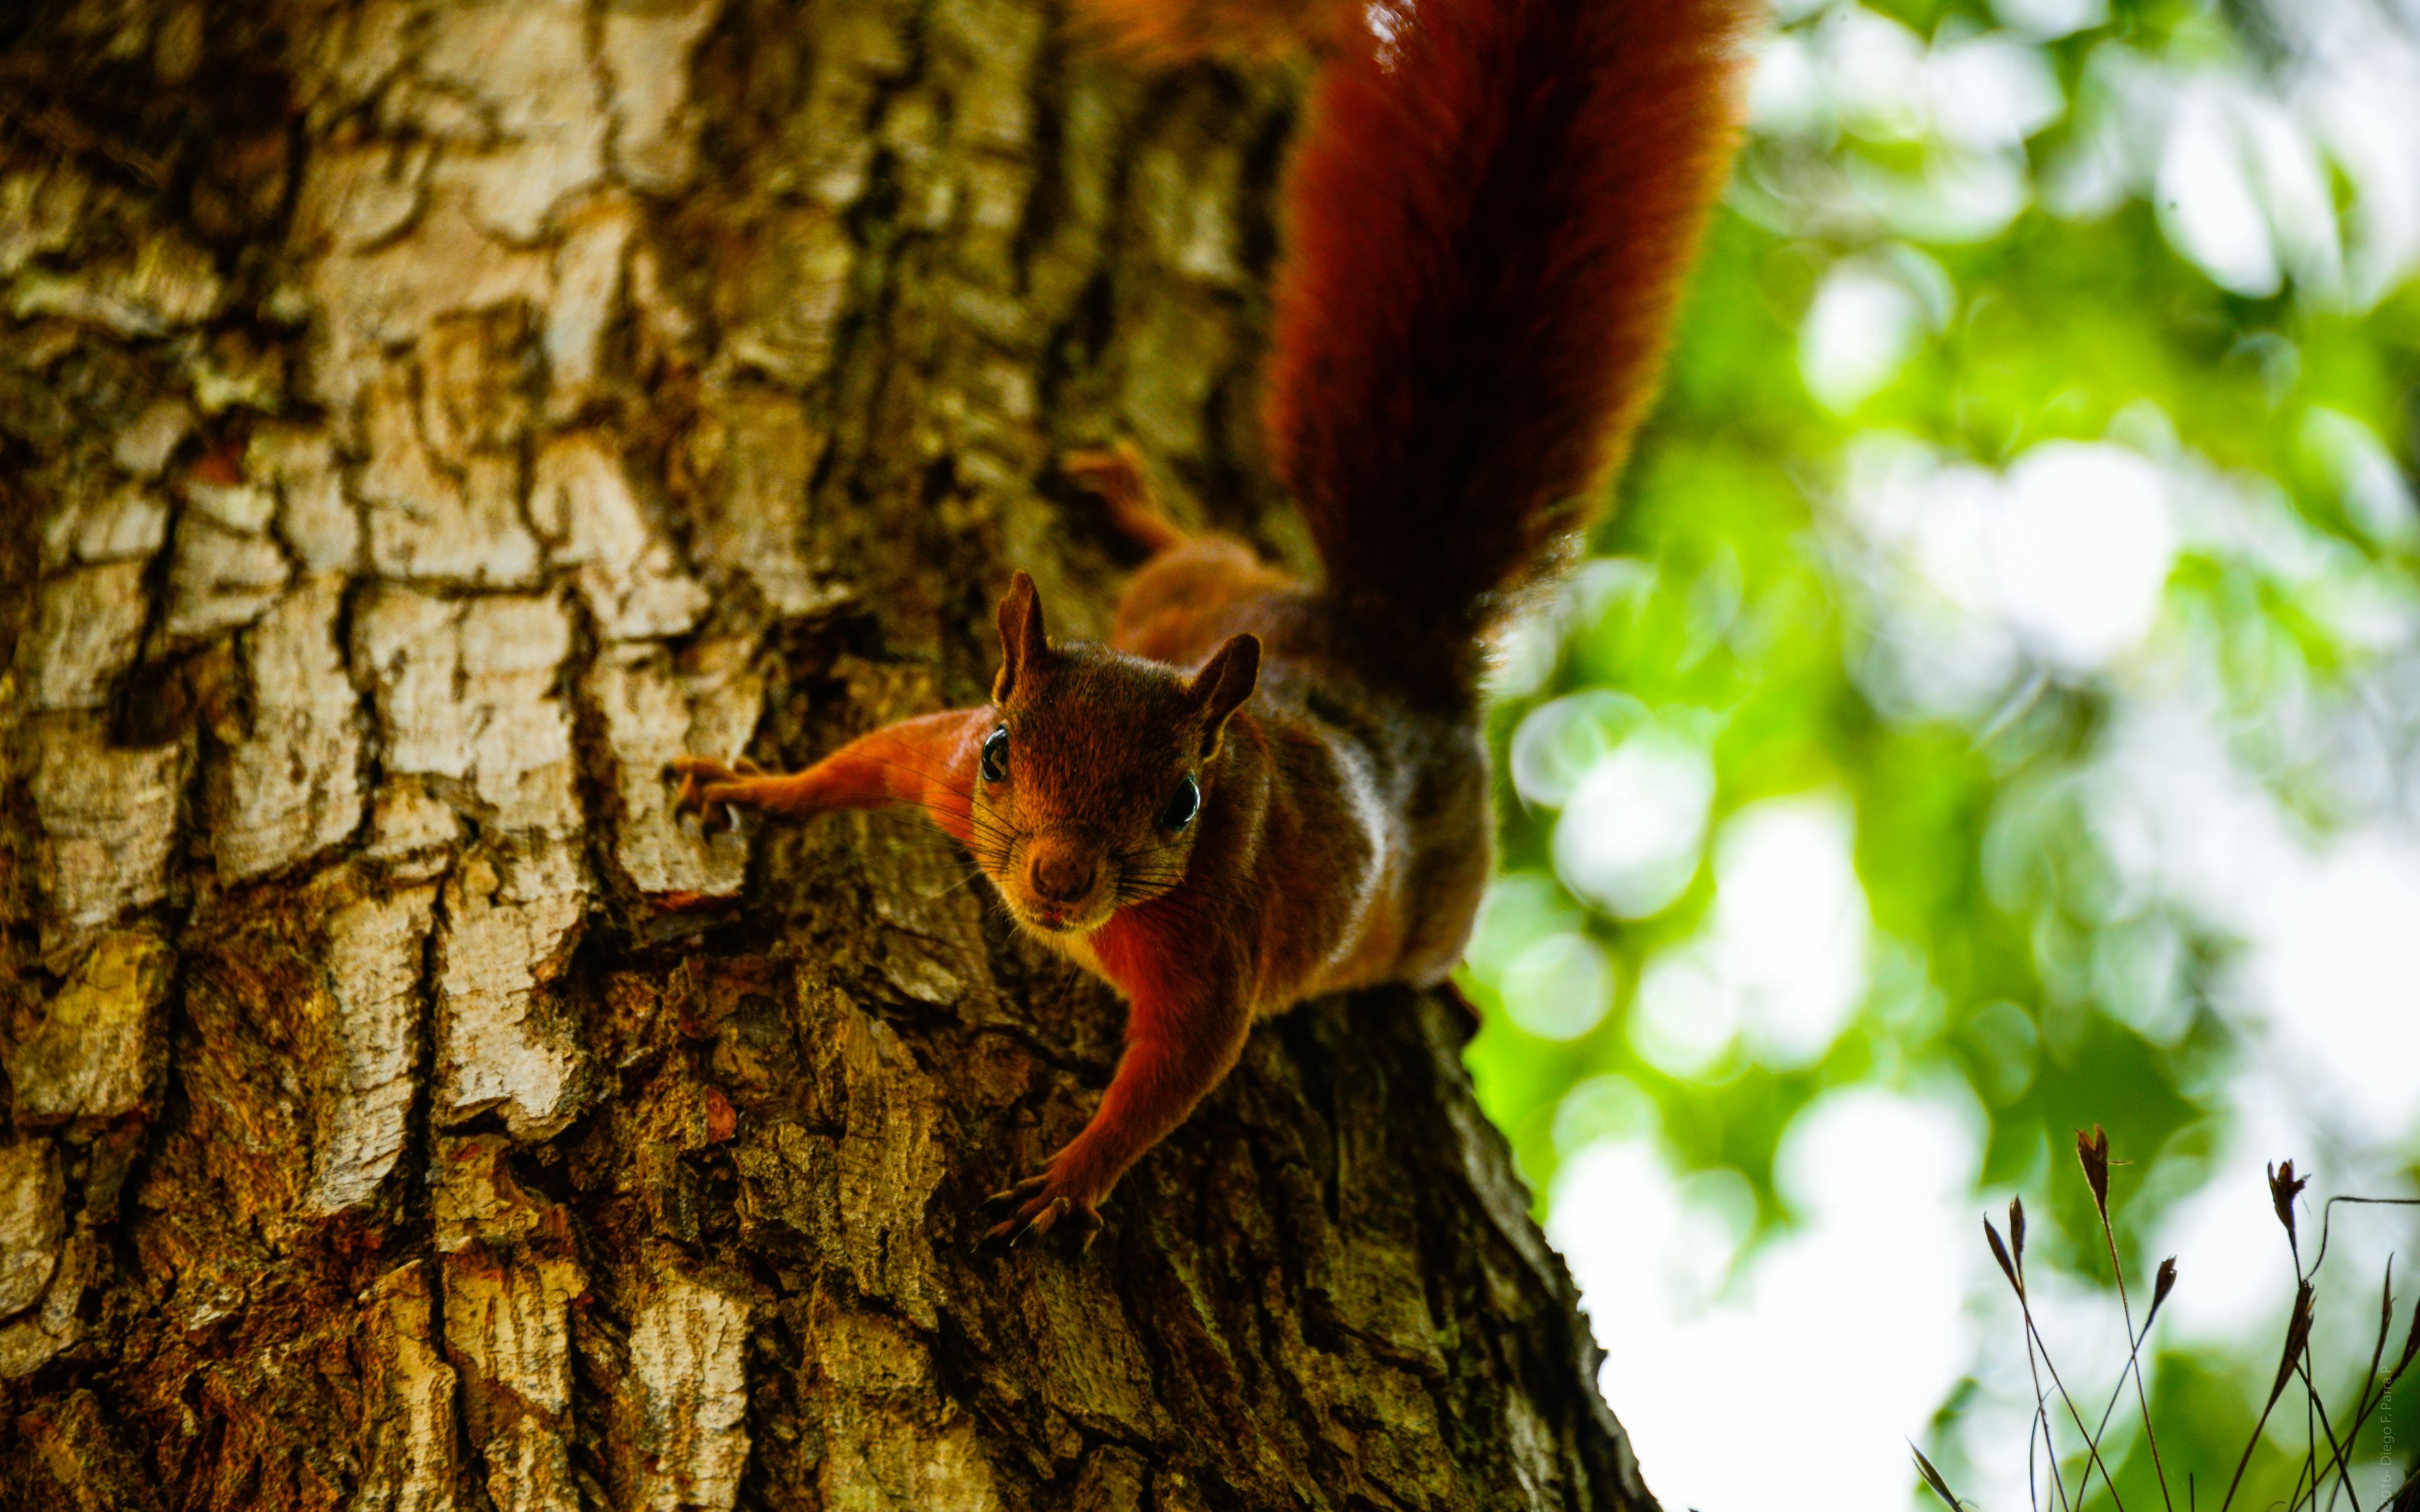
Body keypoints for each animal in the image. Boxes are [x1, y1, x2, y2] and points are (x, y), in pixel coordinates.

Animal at [672, 0, 1752, 1248]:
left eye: (1183, 803)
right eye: (1001, 753)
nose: (1057, 881)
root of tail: (1387, 636)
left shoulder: (1214, 952)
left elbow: (1175, 1076)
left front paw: (1070, 1178)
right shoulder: (939, 762)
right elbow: (867, 758)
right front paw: (757, 788)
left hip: (1445, 884)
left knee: (1431, 941)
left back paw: (1449, 987)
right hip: (1192, 595)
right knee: (1199, 549)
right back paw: (1129, 501)